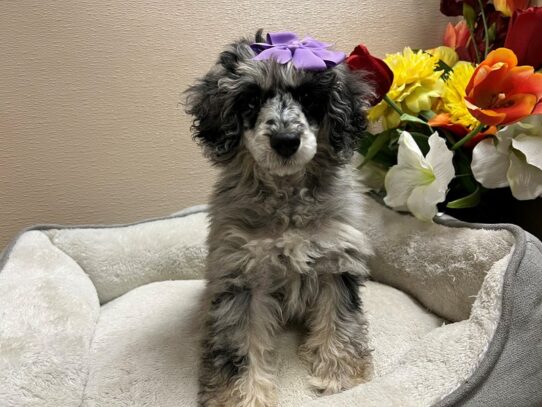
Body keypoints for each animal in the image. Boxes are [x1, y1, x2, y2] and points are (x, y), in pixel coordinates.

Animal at [185, 32, 376, 407]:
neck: (287, 199)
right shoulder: (241, 274)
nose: (286, 141)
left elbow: (340, 319)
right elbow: (239, 344)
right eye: (251, 100)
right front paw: (242, 397)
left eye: (308, 97)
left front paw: (340, 376)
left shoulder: (337, 259)